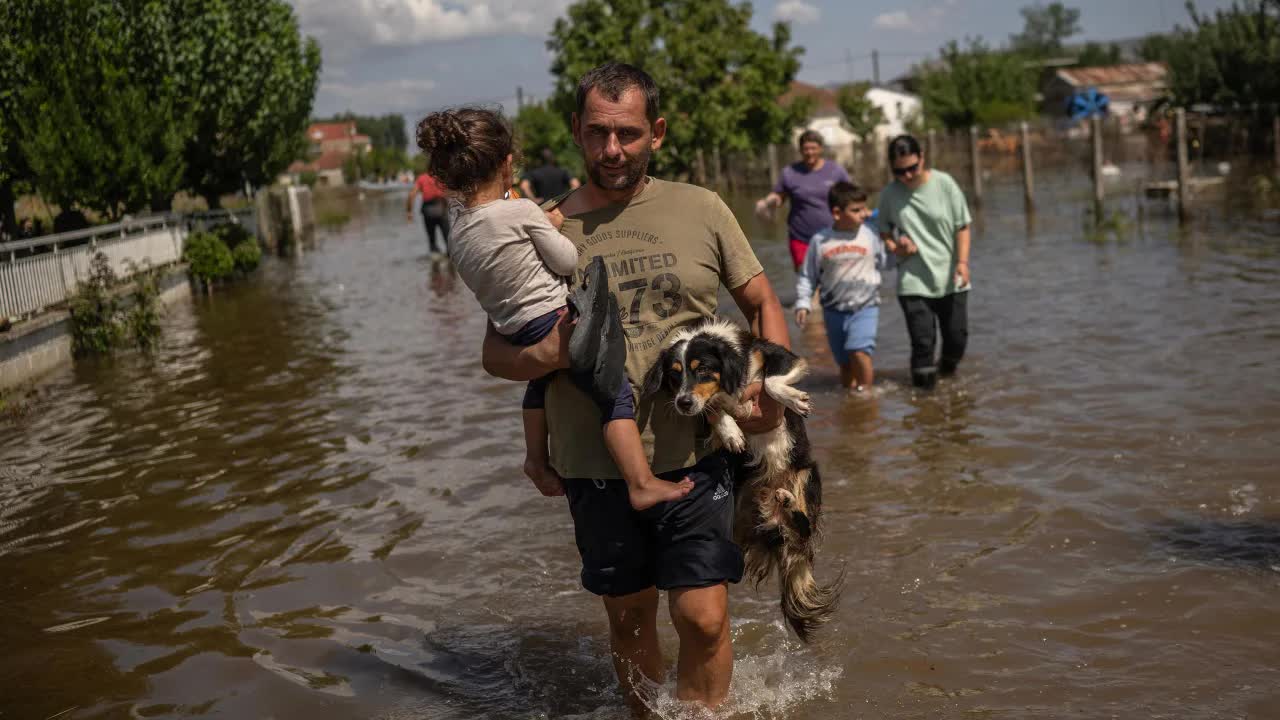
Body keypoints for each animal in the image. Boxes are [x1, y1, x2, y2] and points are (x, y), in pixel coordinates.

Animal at [645, 316, 844, 635]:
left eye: (703, 370)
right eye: (674, 376)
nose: (683, 403)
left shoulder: (778, 355)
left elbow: (771, 382)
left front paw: (794, 399)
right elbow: (714, 410)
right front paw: (730, 432)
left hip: (807, 475)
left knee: (804, 526)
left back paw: (789, 502)